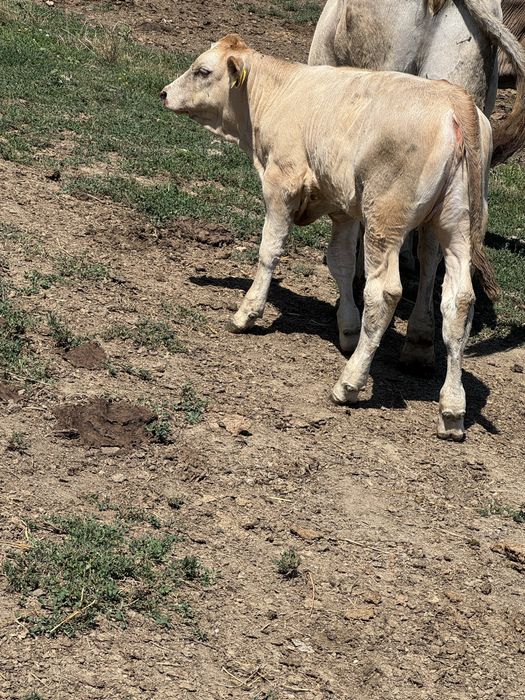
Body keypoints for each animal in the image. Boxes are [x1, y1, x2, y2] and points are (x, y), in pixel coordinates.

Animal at [161, 34, 499, 441]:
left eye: (203, 70)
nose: (164, 93)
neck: (279, 93)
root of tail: (452, 99)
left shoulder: (282, 184)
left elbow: (269, 249)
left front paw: (247, 312)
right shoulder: (343, 205)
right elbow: (339, 263)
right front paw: (348, 330)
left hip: (386, 218)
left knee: (385, 293)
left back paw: (349, 384)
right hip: (456, 225)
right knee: (458, 301)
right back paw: (451, 410)